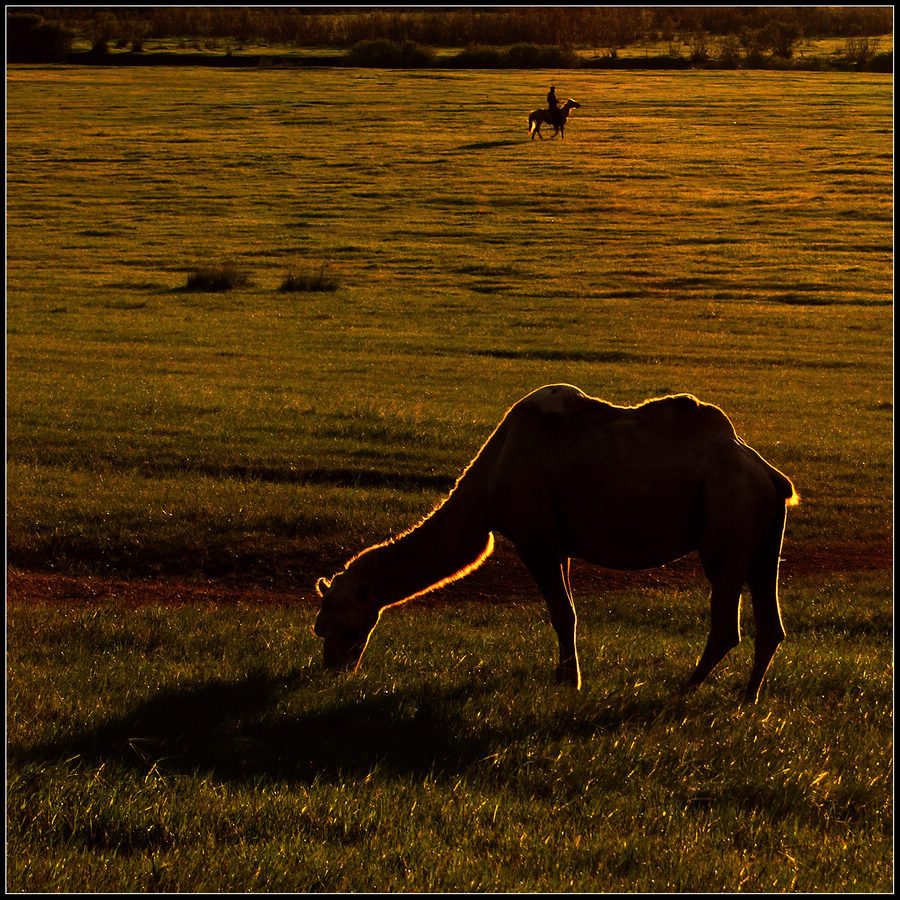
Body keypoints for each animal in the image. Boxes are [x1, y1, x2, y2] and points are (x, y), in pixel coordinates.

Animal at [312, 382, 800, 704]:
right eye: (320, 628)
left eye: (345, 625)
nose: (331, 670)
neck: (487, 480)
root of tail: (769, 474)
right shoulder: (559, 543)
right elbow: (569, 614)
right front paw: (566, 675)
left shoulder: (536, 540)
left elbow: (561, 613)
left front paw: (570, 681)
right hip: (762, 534)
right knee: (769, 621)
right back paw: (748, 699)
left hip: (728, 511)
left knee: (726, 620)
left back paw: (684, 689)